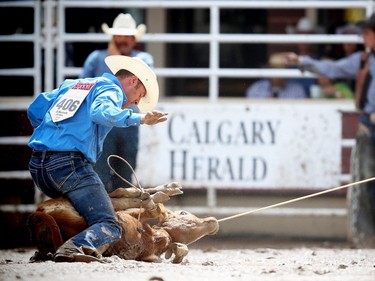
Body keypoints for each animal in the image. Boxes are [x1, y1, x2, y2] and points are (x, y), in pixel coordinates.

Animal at [28, 182, 220, 262]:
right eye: (183, 212)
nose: (212, 221)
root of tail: (38, 214)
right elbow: (151, 211)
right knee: (118, 195)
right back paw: (163, 192)